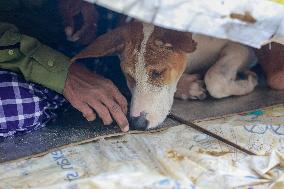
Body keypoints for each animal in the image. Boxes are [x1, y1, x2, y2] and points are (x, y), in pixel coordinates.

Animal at [72, 21, 258, 130]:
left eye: (158, 72)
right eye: (129, 76)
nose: (138, 124)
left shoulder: (245, 47)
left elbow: (214, 79)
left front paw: (247, 81)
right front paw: (189, 87)